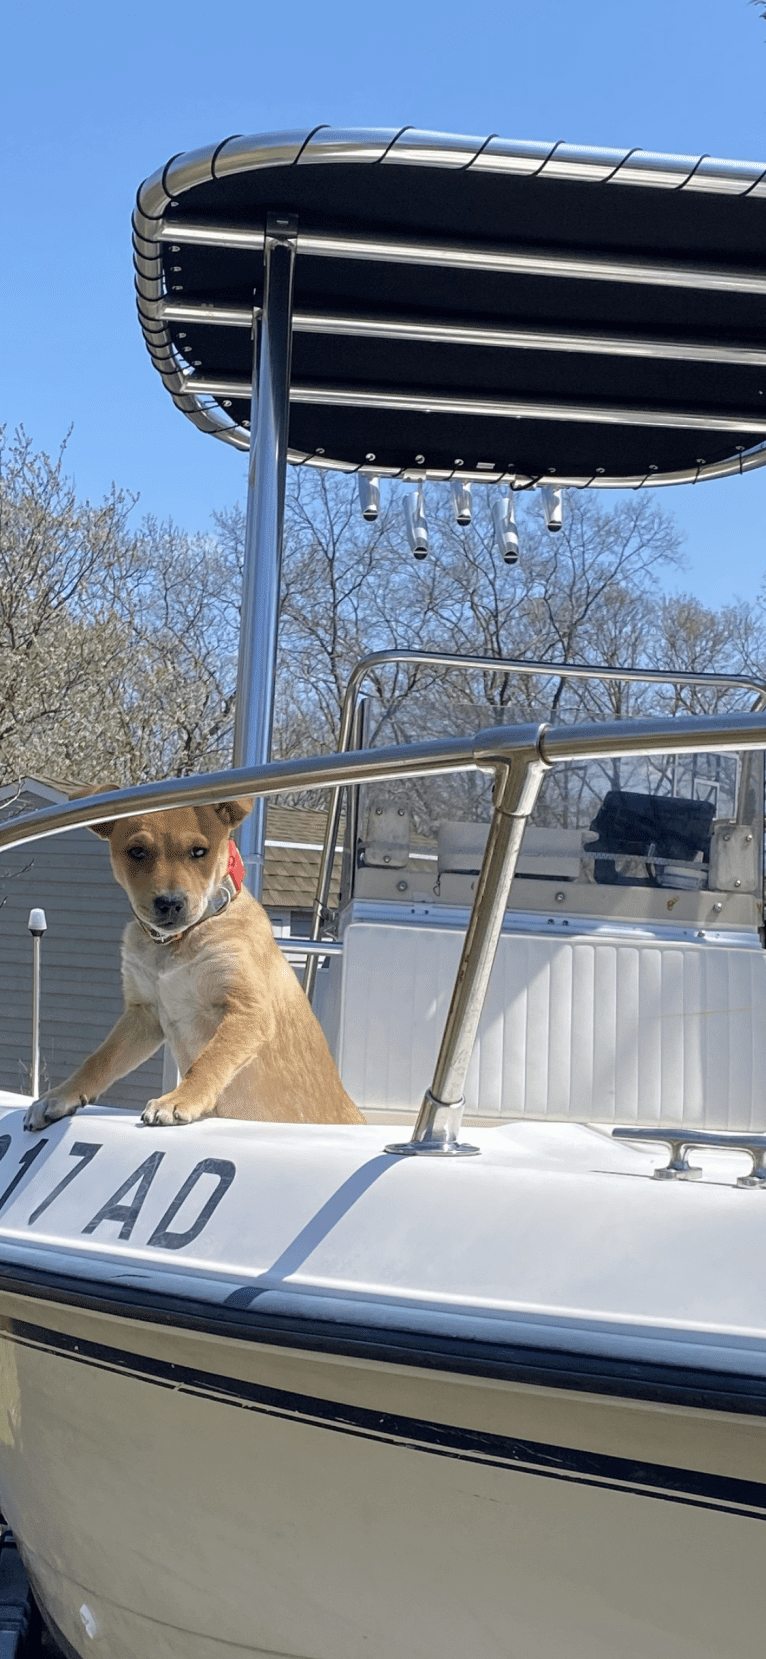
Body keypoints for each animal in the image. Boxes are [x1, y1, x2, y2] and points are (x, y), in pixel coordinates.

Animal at [25, 789, 366, 1128]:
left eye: (199, 851)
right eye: (137, 851)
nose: (169, 903)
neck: (176, 943)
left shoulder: (248, 1010)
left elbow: (210, 1060)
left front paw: (178, 1099)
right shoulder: (144, 1014)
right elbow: (101, 1058)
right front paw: (60, 1095)